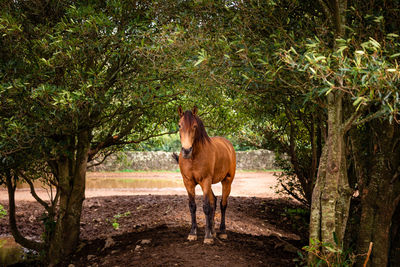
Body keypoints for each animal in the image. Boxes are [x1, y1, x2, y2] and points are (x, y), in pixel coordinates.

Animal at [177, 105, 236, 244]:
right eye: (179, 125)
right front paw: (193, 233)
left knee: (222, 204)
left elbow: (206, 207)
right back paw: (213, 231)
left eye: (194, 126)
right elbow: (193, 206)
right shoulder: (188, 182)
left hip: (227, 181)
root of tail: (228, 145)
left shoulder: (205, 180)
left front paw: (208, 237)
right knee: (214, 201)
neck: (194, 157)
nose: (186, 150)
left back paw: (222, 232)